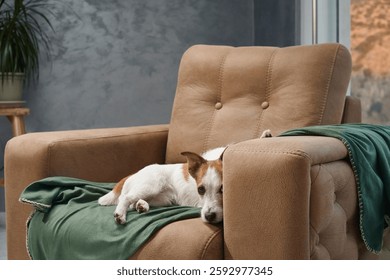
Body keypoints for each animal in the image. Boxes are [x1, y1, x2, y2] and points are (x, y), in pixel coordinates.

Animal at [99, 130, 272, 224]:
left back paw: (142, 205)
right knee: (125, 198)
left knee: (134, 202)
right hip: (151, 185)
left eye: (224, 189)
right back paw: (120, 214)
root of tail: (133, 174)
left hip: (163, 199)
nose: (209, 216)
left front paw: (265, 136)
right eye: (200, 190)